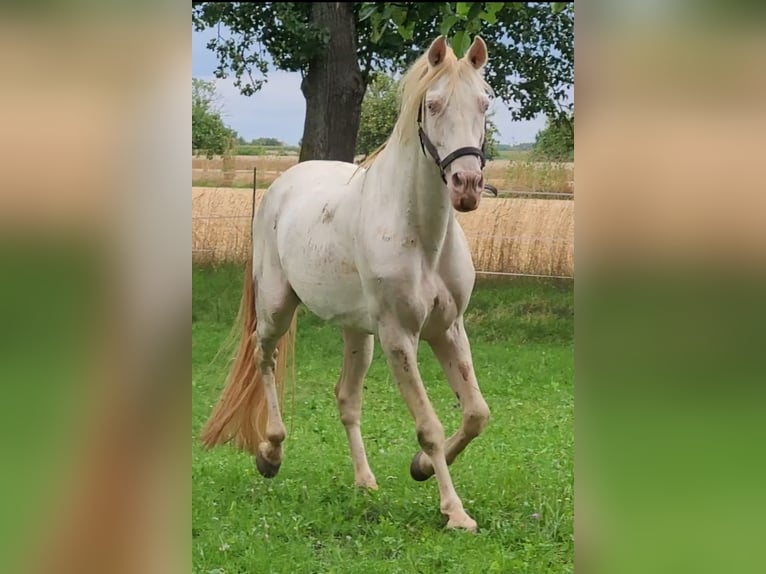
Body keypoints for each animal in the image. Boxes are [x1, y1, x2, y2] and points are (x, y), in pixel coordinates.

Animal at [201, 35, 494, 532]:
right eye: (433, 104)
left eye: (484, 103)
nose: (467, 185)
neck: (422, 235)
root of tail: (280, 186)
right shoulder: (400, 337)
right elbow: (430, 426)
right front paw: (455, 511)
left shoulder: (448, 329)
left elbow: (475, 413)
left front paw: (418, 468)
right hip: (277, 310)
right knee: (264, 359)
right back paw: (270, 453)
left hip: (358, 334)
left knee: (346, 398)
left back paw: (364, 481)